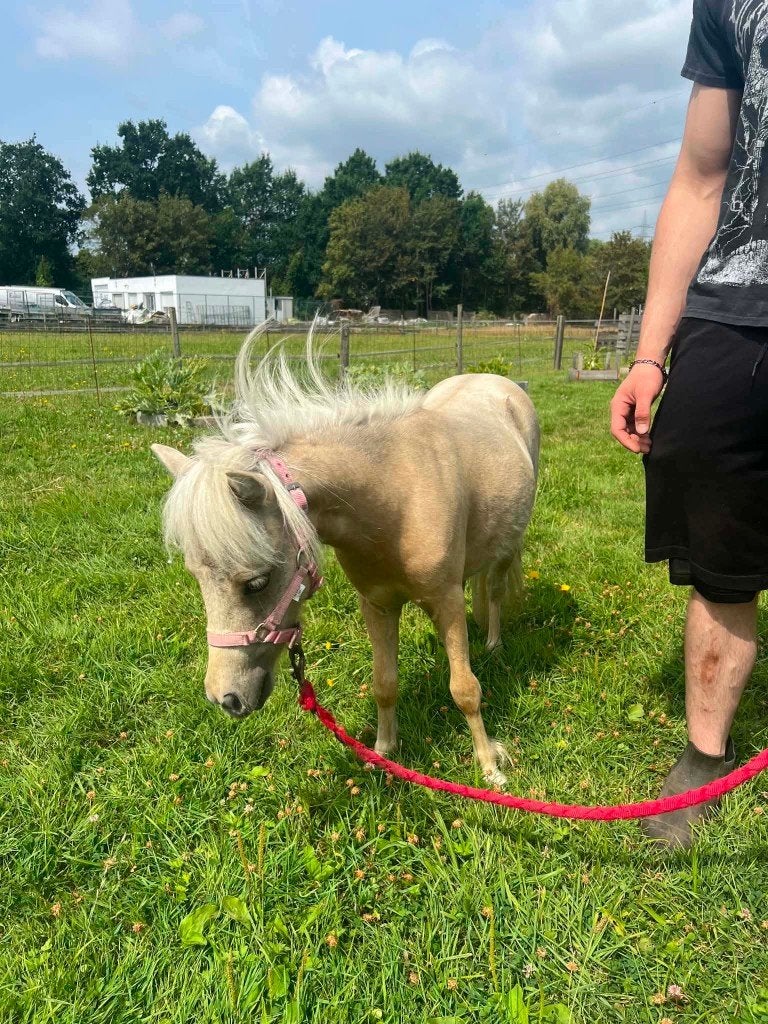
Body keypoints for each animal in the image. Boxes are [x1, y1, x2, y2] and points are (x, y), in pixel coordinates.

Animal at [152, 327, 539, 786]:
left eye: (257, 582)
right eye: (196, 576)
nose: (225, 698)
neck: (396, 496)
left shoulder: (446, 600)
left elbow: (464, 689)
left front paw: (490, 767)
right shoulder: (378, 604)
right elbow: (384, 682)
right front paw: (384, 752)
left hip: (508, 546)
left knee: (494, 590)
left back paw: (494, 643)